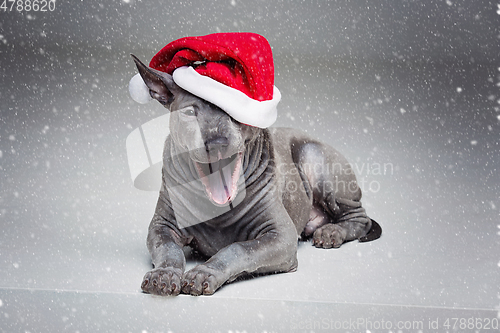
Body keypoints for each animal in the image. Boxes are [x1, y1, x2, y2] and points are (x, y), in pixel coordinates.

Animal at [131, 55, 380, 296]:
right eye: (189, 112)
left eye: (233, 112)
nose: (217, 143)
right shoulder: (162, 226)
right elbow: (168, 249)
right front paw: (163, 274)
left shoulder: (281, 236)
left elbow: (239, 249)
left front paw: (204, 273)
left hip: (315, 157)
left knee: (359, 217)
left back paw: (332, 231)